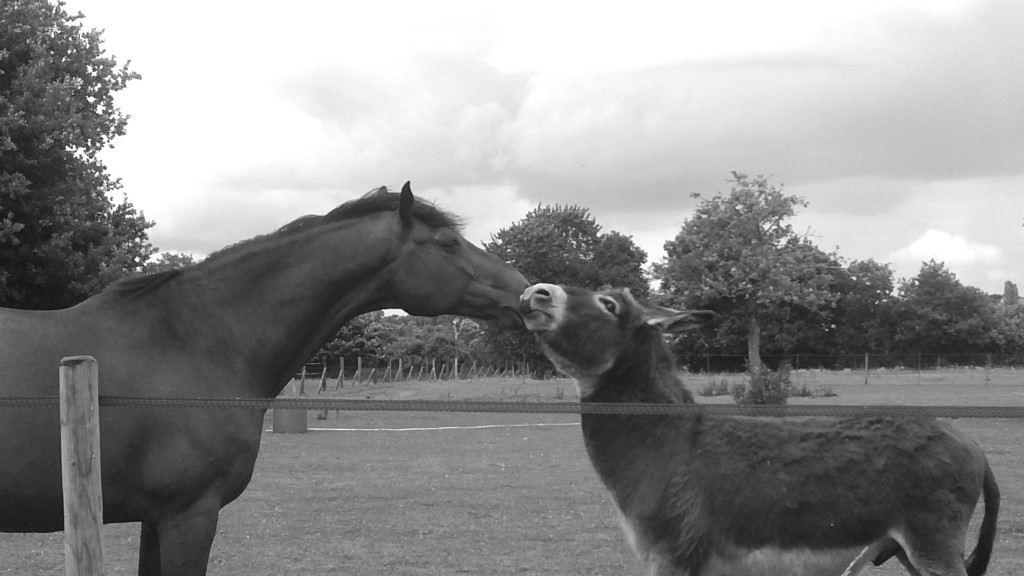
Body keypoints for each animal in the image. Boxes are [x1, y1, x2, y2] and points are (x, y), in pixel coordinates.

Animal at [520, 283, 999, 576]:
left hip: (932, 544)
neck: (670, 443)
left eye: (608, 305)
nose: (533, 292)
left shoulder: (673, 554)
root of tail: (971, 442)